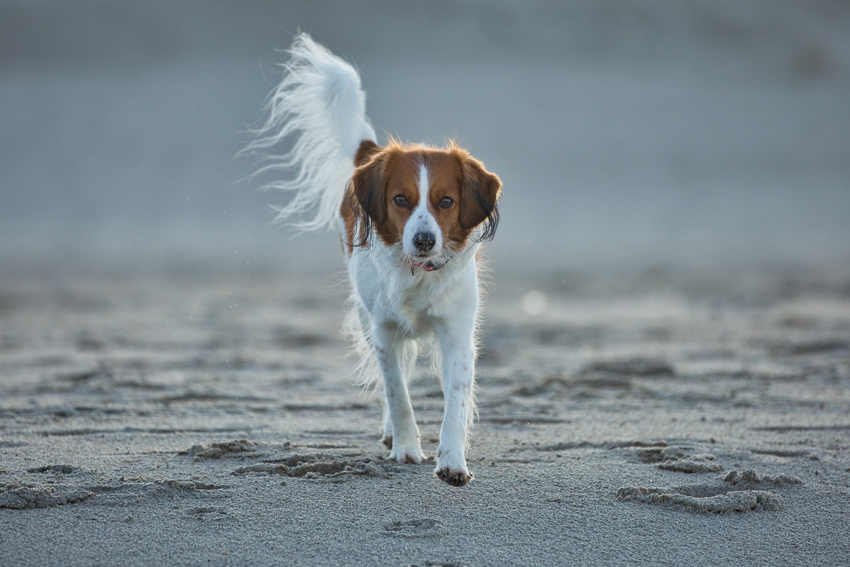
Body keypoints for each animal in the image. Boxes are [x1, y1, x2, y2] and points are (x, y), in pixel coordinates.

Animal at [242, 34, 500, 488]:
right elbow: (397, 393)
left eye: (445, 202)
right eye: (400, 199)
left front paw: (452, 462)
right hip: (366, 316)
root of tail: (373, 152)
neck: (417, 273)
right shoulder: (384, 332)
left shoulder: (456, 333)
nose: (423, 239)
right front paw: (406, 447)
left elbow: (455, 401)